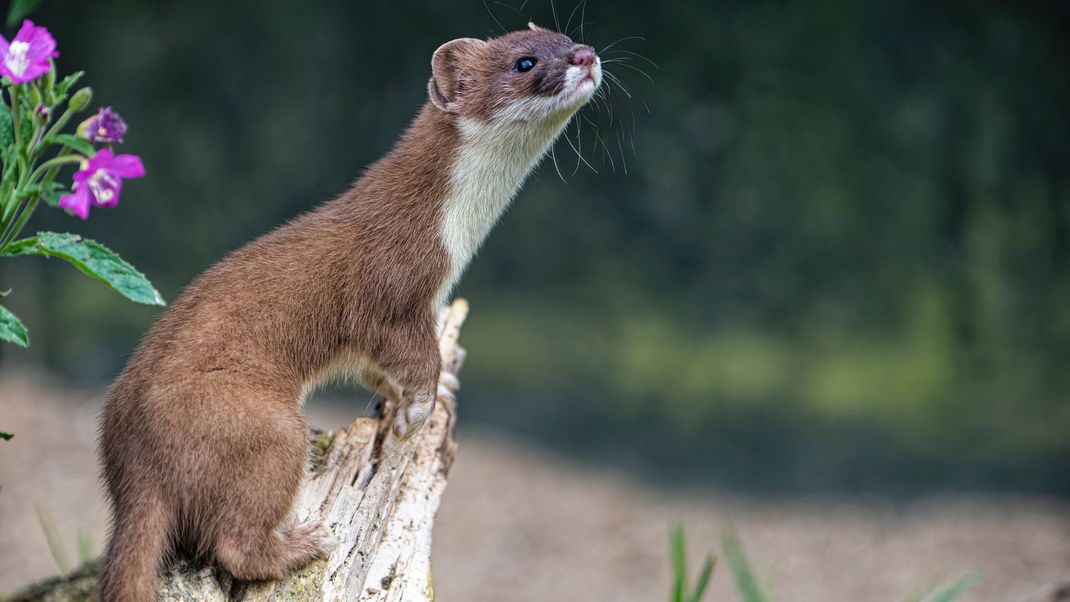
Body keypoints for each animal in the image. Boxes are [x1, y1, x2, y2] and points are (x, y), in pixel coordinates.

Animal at [97, 22, 603, 598]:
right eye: (524, 62)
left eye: (567, 35)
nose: (586, 56)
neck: (457, 237)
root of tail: (131, 466)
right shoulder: (392, 294)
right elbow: (412, 355)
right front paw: (418, 407)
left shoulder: (382, 331)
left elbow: (376, 368)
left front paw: (428, 391)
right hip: (266, 428)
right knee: (233, 543)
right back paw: (305, 543)